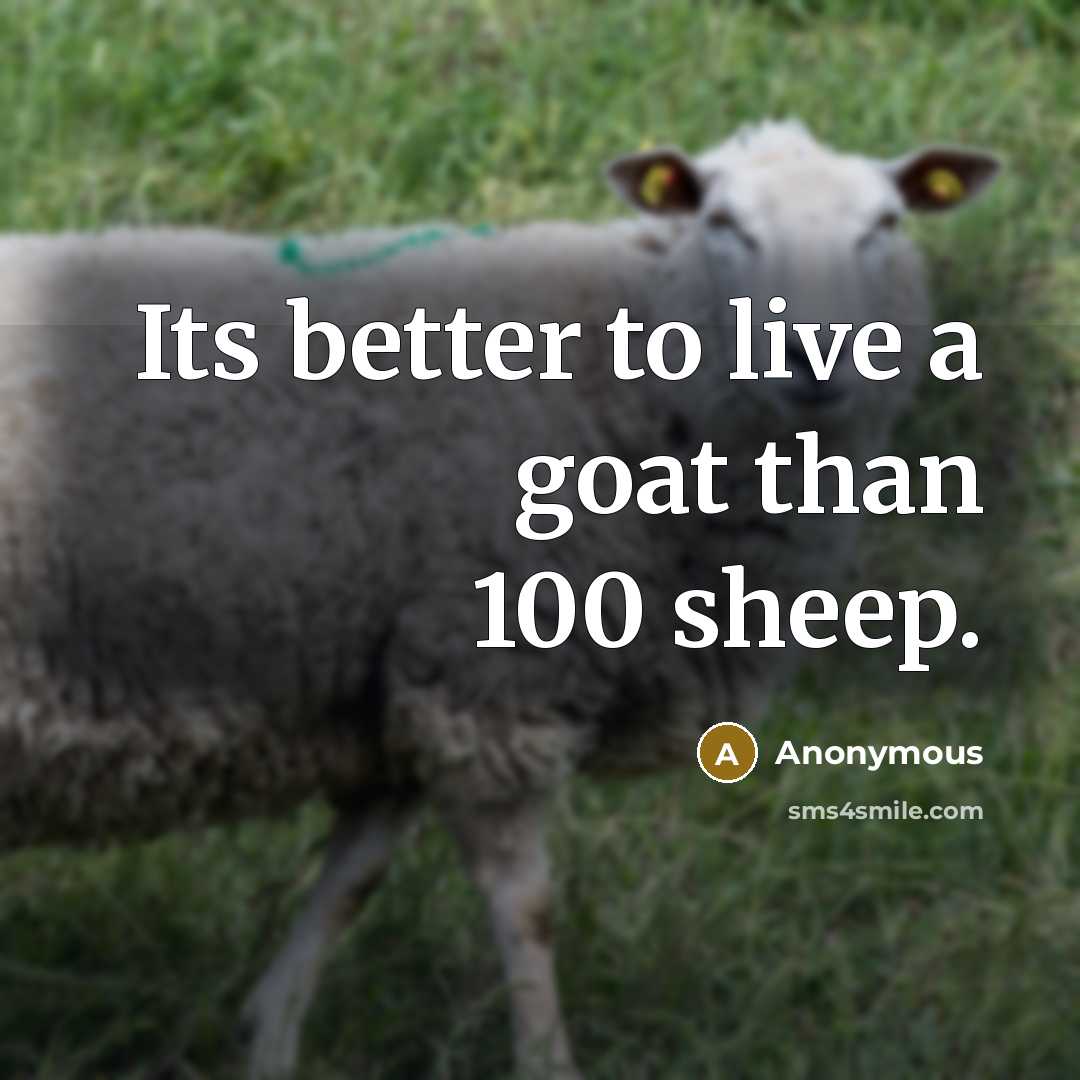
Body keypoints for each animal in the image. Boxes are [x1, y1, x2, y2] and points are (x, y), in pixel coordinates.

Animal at [0, 121, 998, 1078]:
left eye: (885, 224)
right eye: (723, 223)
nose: (815, 356)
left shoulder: (403, 690)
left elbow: (350, 886)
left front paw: (268, 1041)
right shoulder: (493, 686)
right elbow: (528, 909)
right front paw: (549, 1064)